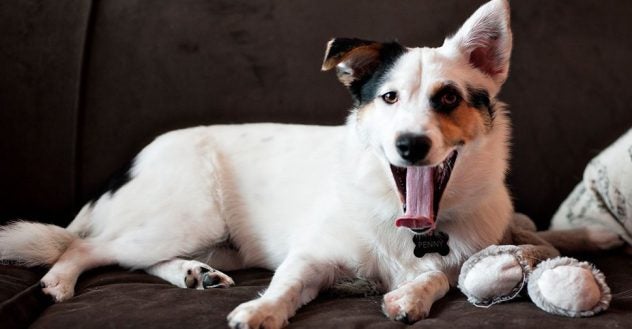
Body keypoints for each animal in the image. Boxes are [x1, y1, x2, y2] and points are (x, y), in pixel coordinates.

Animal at [3, 1, 608, 326]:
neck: (407, 222)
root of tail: (130, 162)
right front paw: (262, 311)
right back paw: (59, 281)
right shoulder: (313, 256)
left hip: (209, 238)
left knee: (136, 259)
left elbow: (443, 275)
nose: (410, 146)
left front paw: (411, 295)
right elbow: (286, 285)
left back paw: (193, 274)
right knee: (90, 248)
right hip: (187, 216)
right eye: (389, 98)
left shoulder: (465, 252)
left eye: (449, 98)